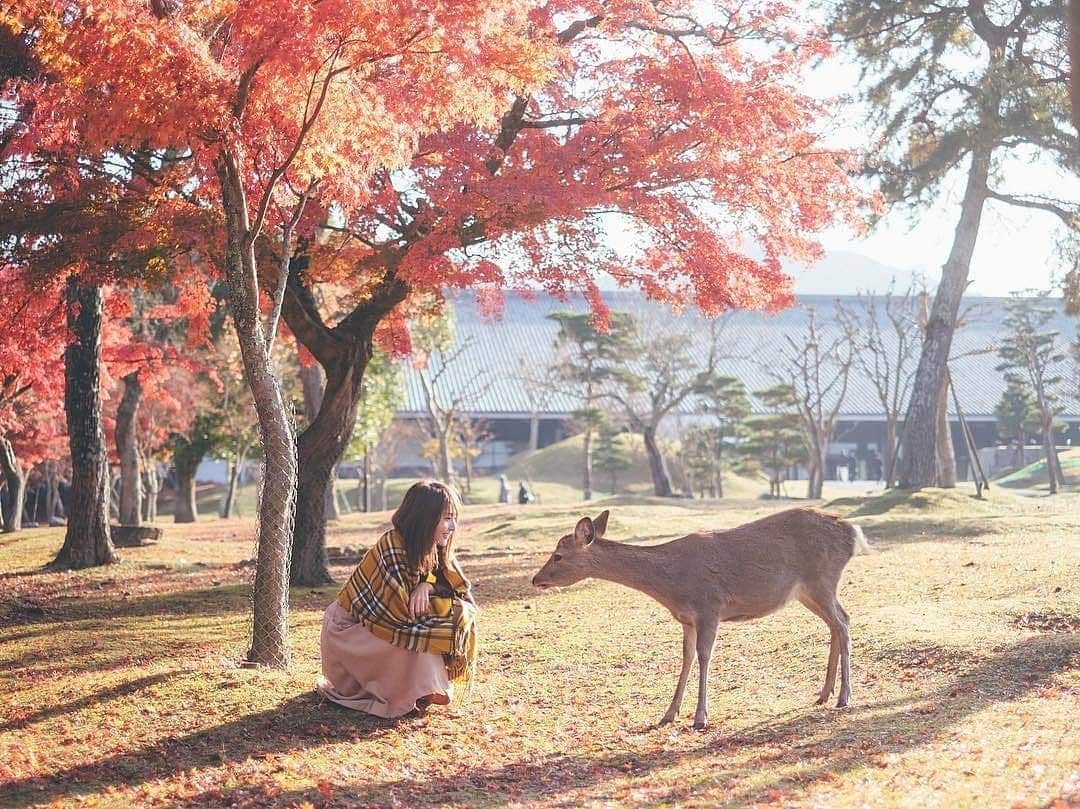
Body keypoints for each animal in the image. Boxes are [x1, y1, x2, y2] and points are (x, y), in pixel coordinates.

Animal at [531, 505, 868, 725]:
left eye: (557, 556)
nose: (536, 579)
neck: (670, 584)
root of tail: (853, 533)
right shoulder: (686, 619)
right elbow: (686, 657)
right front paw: (668, 715)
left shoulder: (709, 606)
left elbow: (705, 656)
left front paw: (700, 717)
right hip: (808, 592)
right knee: (837, 623)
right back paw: (824, 694)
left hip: (822, 579)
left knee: (844, 622)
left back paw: (844, 696)